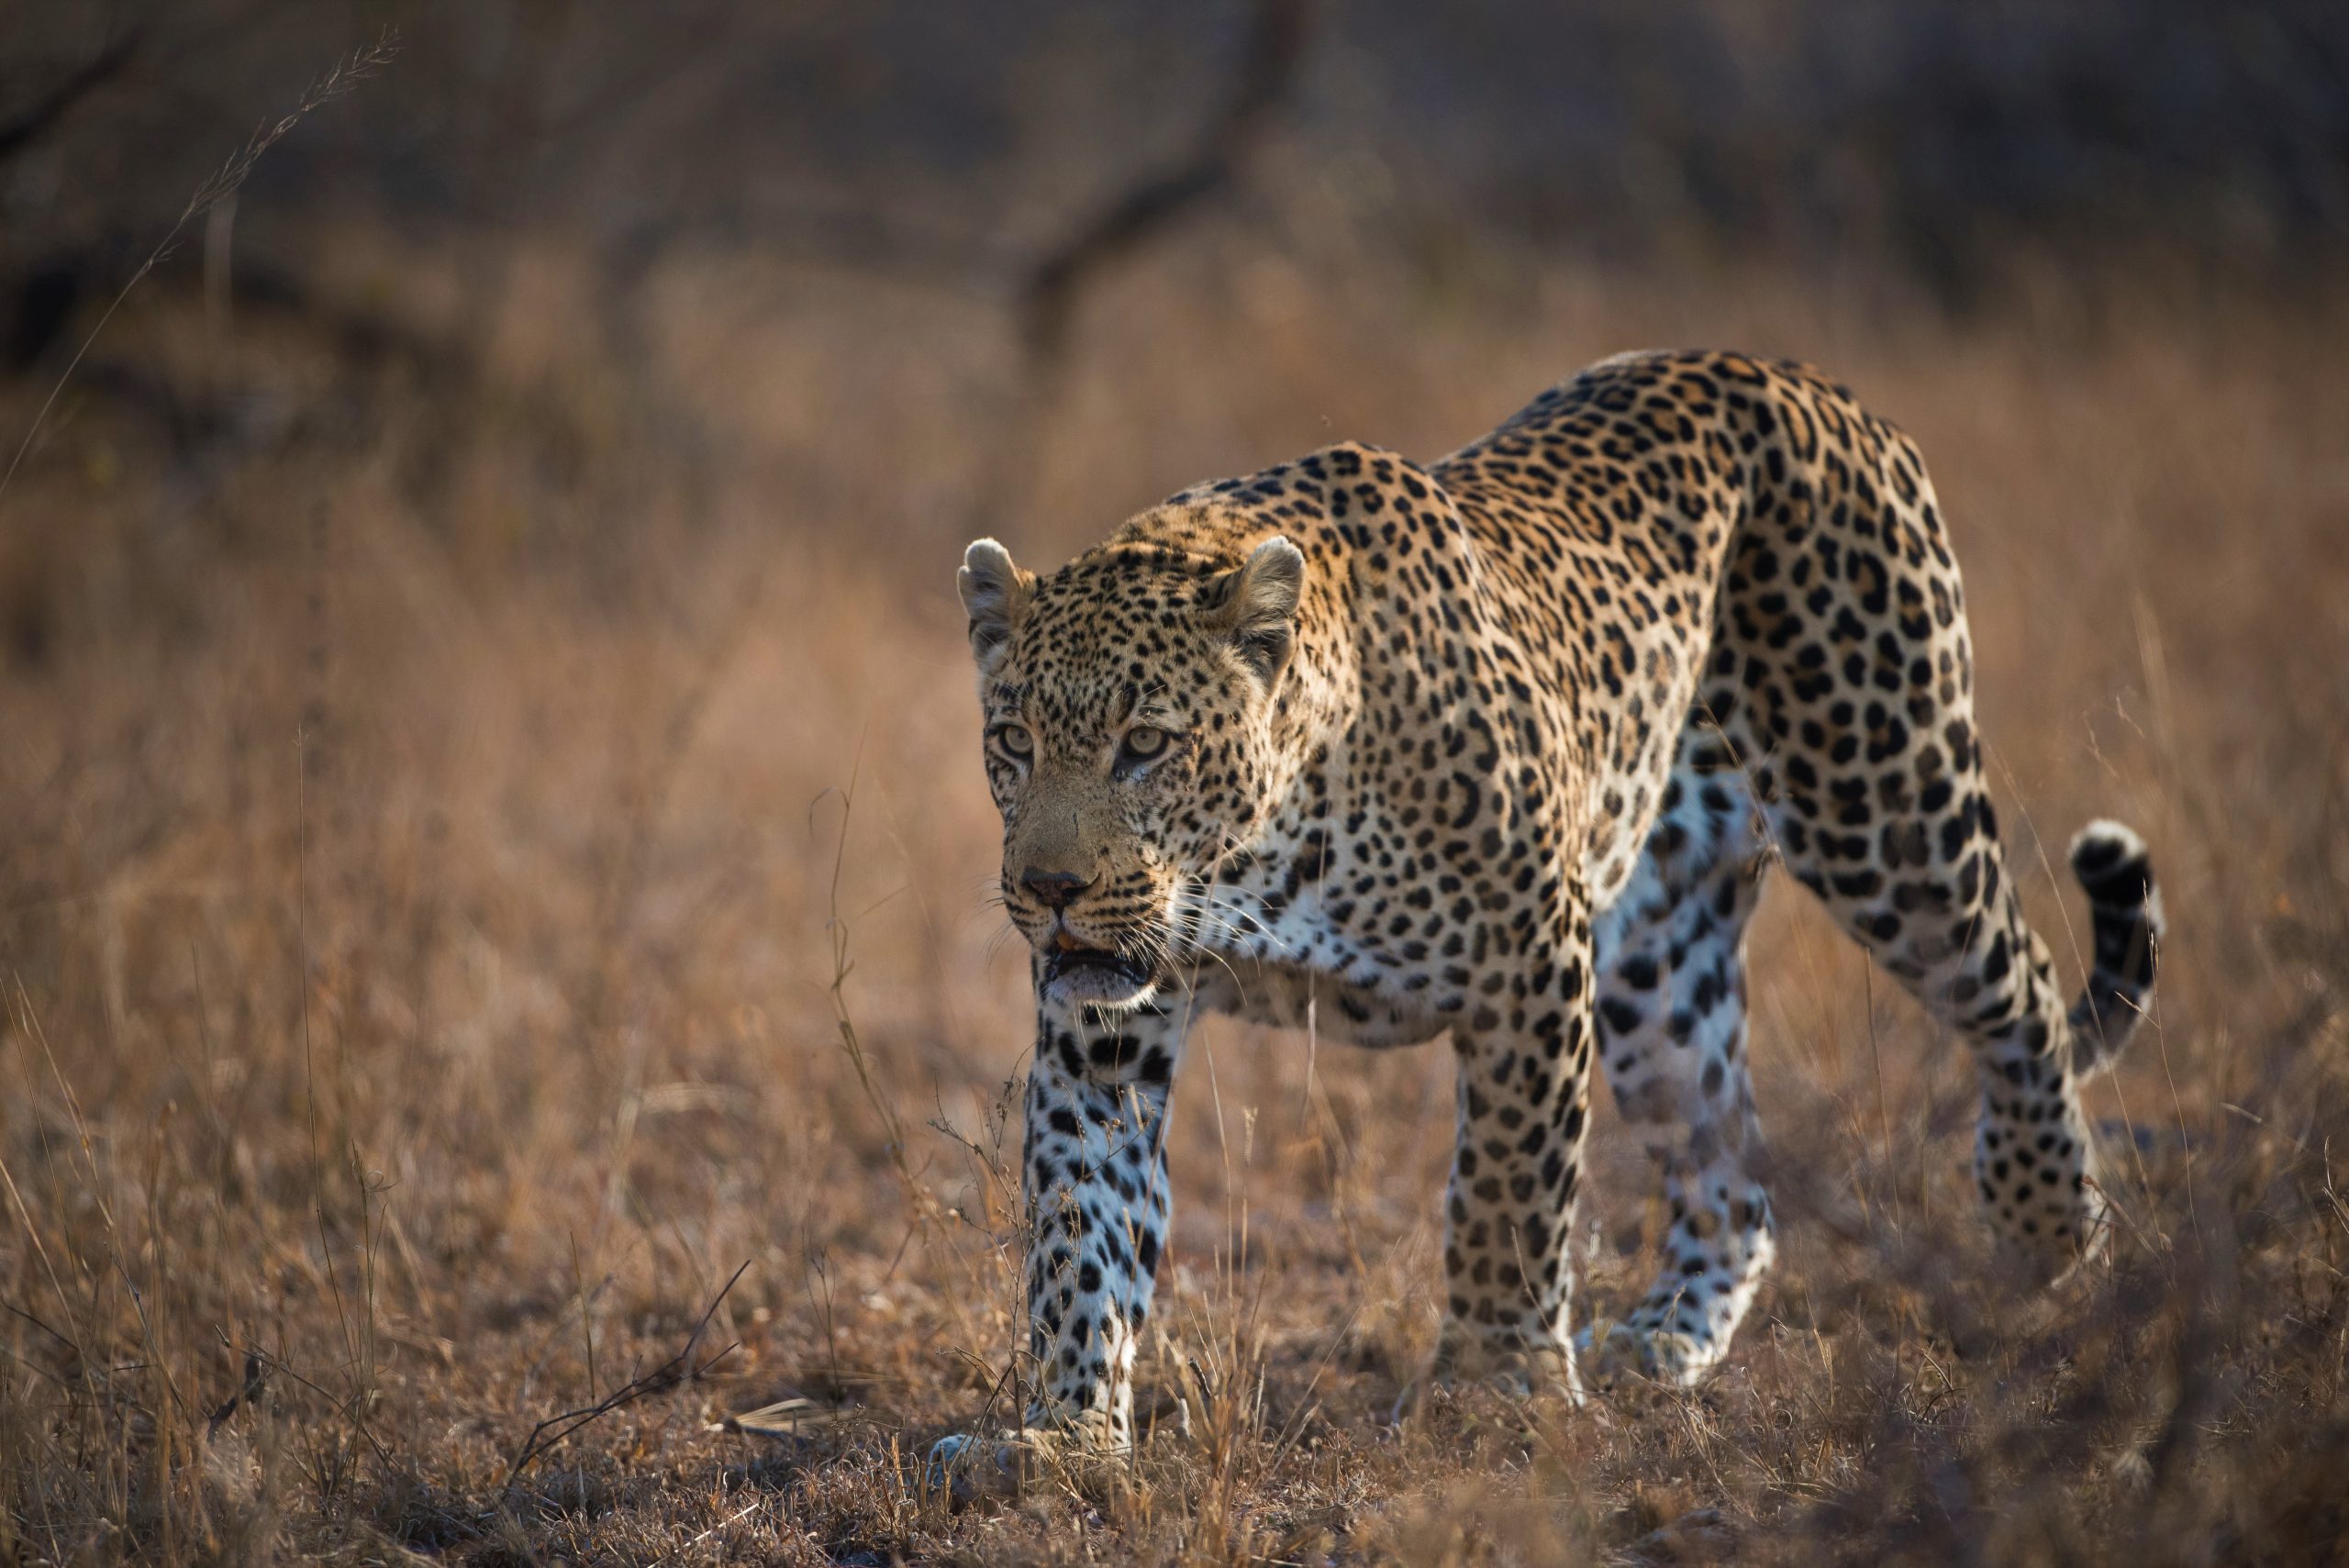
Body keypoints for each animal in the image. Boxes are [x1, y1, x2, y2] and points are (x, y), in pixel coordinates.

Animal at [920, 345, 2161, 1483]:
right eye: (1013, 741)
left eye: (1145, 744)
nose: (1049, 889)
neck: (1261, 854)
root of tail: (1803, 375)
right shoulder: (1105, 1026)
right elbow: (1082, 1225)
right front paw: (1064, 1432)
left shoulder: (1526, 958)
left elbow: (1509, 1189)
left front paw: (1493, 1388)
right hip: (1660, 965)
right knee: (1732, 1177)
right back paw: (1662, 1340)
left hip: (1886, 801)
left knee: (2018, 988)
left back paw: (2048, 1225)